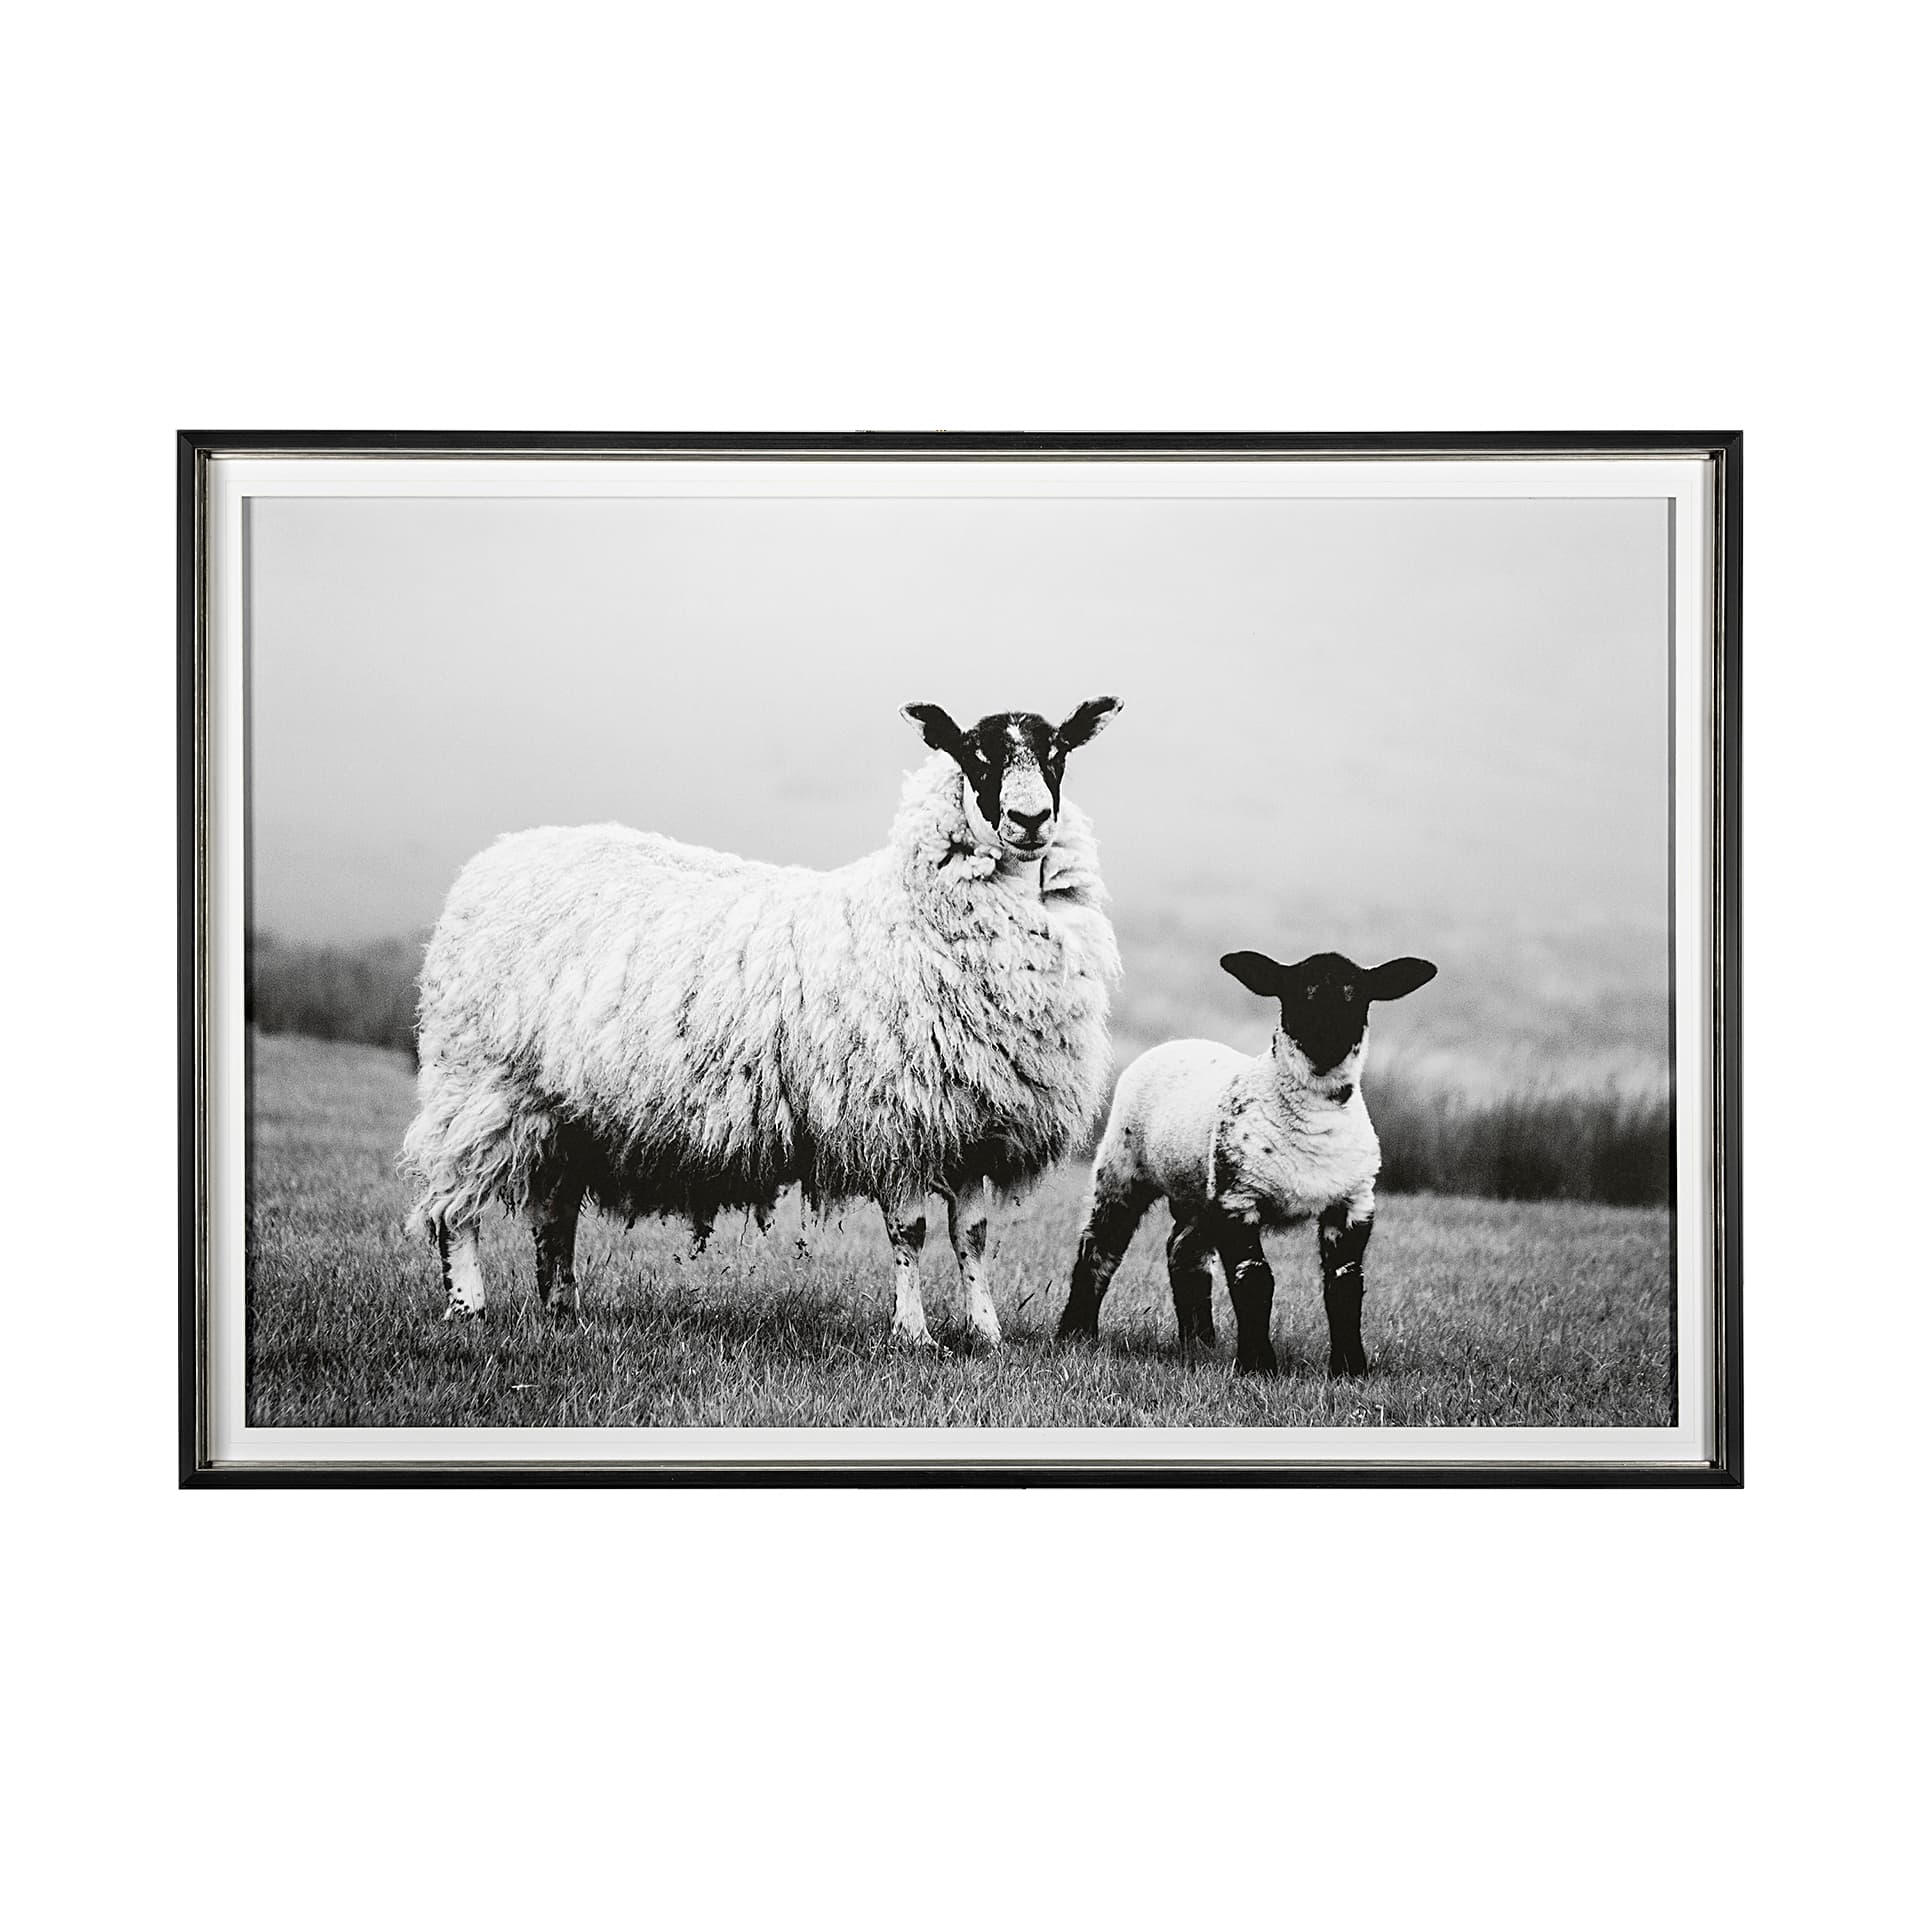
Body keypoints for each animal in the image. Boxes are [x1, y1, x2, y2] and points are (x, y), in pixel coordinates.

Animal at [400, 697, 1124, 1344]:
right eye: (975, 753)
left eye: (1057, 751)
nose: (1030, 819)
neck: (912, 910)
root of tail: (494, 859)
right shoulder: (895, 1117)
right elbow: (910, 1232)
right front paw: (913, 1335)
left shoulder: (976, 1125)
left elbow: (970, 1236)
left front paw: (985, 1333)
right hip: (481, 1084)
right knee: (453, 1206)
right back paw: (468, 1307)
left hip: (565, 1111)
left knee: (553, 1214)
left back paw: (562, 1311)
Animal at [1056, 949, 1436, 1376]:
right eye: (1296, 992)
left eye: (1357, 994)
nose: (1327, 1037)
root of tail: (1180, 1041)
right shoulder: (1238, 1197)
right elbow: (1254, 1278)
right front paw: (1257, 1364)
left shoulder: (1353, 1203)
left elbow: (1346, 1282)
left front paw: (1350, 1368)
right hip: (1122, 1168)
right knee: (1100, 1248)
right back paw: (1076, 1333)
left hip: (1199, 1193)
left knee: (1184, 1252)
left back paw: (1199, 1342)